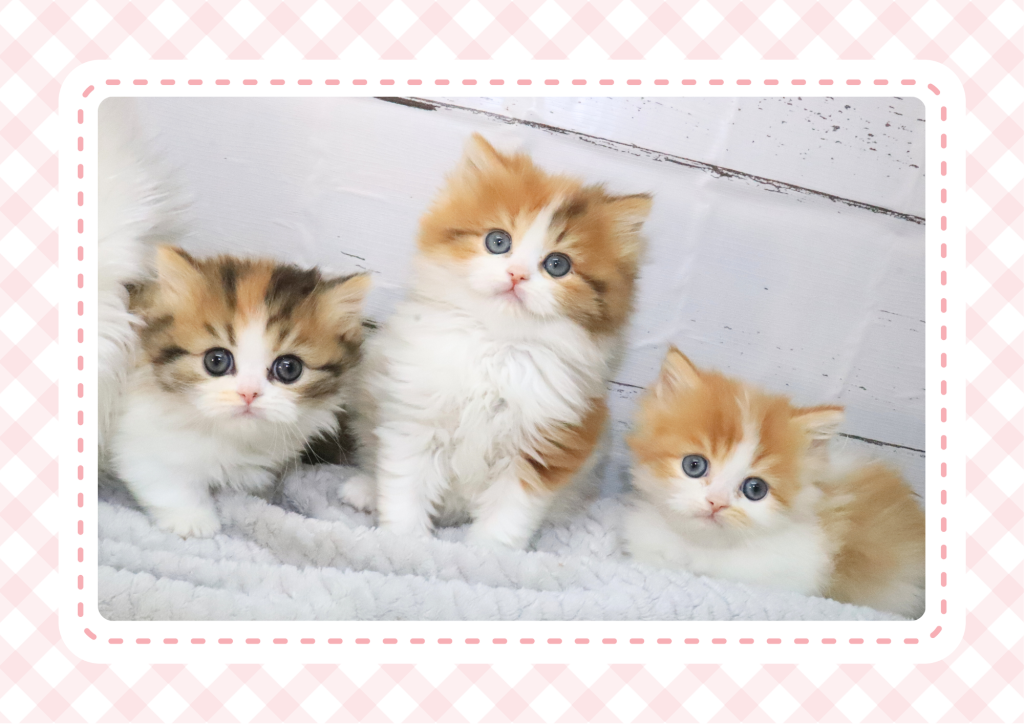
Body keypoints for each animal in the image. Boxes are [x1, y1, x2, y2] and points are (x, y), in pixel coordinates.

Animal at [108, 246, 370, 537]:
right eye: (216, 361)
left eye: (289, 368)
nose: (249, 393)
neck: (228, 435)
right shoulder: (139, 437)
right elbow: (167, 481)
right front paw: (193, 521)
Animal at [341, 134, 652, 549]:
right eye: (498, 242)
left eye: (557, 265)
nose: (517, 275)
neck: (496, 348)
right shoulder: (415, 420)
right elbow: (407, 490)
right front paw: (405, 542)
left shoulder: (544, 446)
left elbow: (507, 518)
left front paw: (485, 555)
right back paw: (364, 489)